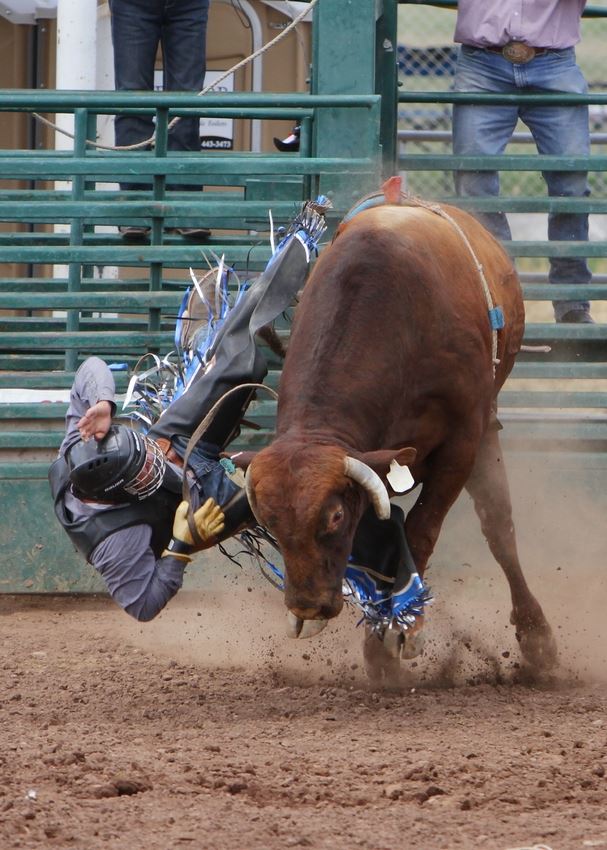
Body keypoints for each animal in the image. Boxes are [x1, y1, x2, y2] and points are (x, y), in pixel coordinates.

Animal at [243, 186, 557, 683]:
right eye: (270, 522)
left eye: (334, 517)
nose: (307, 605)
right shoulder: (372, 467)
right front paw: (379, 646)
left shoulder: (461, 445)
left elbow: (421, 531)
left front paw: (397, 636)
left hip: (486, 428)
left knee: (499, 528)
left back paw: (536, 638)